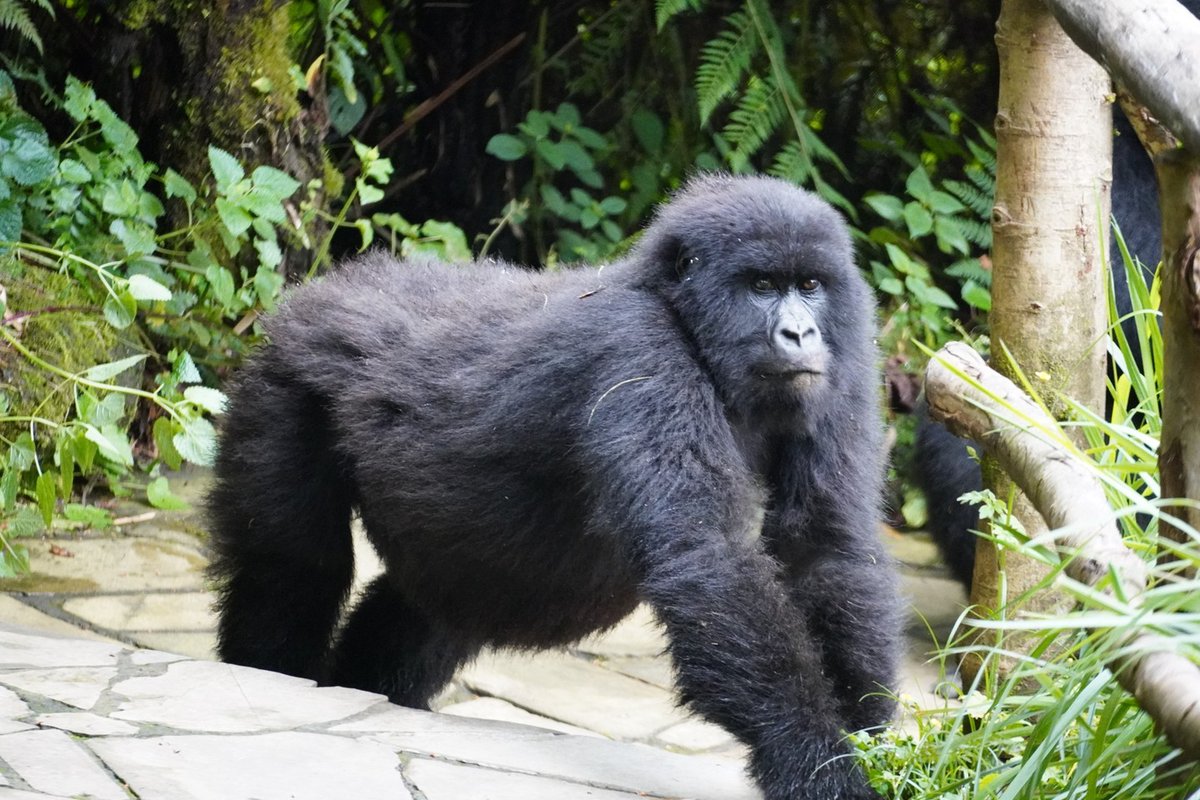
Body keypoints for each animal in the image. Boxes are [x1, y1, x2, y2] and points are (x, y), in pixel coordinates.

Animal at [208, 175, 902, 800]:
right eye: (761, 288)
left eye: (809, 287)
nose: (799, 334)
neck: (678, 308)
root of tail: (333, 283)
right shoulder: (638, 346)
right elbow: (710, 560)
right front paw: (816, 760)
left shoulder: (850, 347)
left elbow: (824, 546)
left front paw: (878, 740)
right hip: (284, 376)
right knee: (293, 569)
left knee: (425, 609)